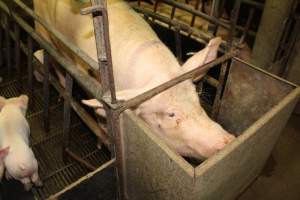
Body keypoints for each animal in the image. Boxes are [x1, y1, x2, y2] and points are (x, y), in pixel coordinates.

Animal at [32, 0, 234, 159]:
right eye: (171, 114)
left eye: (197, 101)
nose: (229, 140)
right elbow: (99, 114)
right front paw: (101, 142)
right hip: (42, 29)